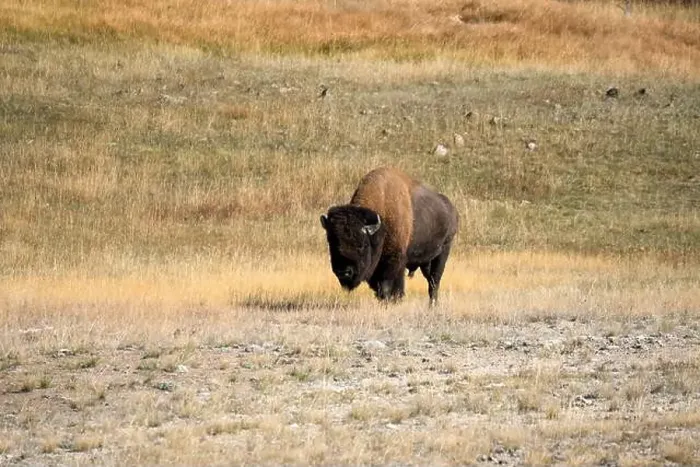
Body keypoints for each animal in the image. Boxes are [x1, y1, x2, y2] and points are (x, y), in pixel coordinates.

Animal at [320, 167, 459, 305]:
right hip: (426, 261)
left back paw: (432, 305)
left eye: (362, 245)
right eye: (332, 243)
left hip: (443, 251)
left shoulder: (394, 262)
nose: (344, 272)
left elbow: (388, 286)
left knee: (434, 281)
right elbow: (379, 288)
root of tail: (452, 210)